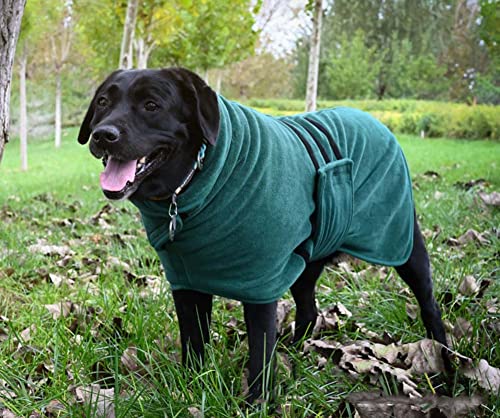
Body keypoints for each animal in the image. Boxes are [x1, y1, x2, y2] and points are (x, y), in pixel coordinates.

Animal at [79, 67, 450, 404]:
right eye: (103, 102)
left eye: (152, 105)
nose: (102, 134)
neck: (194, 181)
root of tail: (373, 120)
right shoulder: (185, 281)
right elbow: (194, 341)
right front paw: (190, 388)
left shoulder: (260, 283)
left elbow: (260, 350)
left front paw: (256, 402)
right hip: (309, 257)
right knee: (309, 309)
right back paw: (297, 350)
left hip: (403, 241)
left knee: (428, 303)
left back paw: (444, 362)